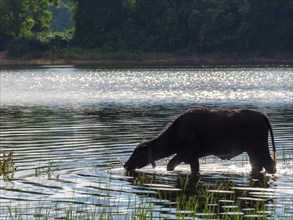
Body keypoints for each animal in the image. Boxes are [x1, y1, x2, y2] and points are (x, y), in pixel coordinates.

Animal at [124, 107, 276, 174]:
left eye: (139, 153)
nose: (126, 165)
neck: (177, 131)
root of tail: (261, 115)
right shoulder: (182, 154)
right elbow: (170, 165)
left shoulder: (192, 156)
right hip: (252, 152)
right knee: (258, 165)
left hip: (259, 148)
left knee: (269, 165)